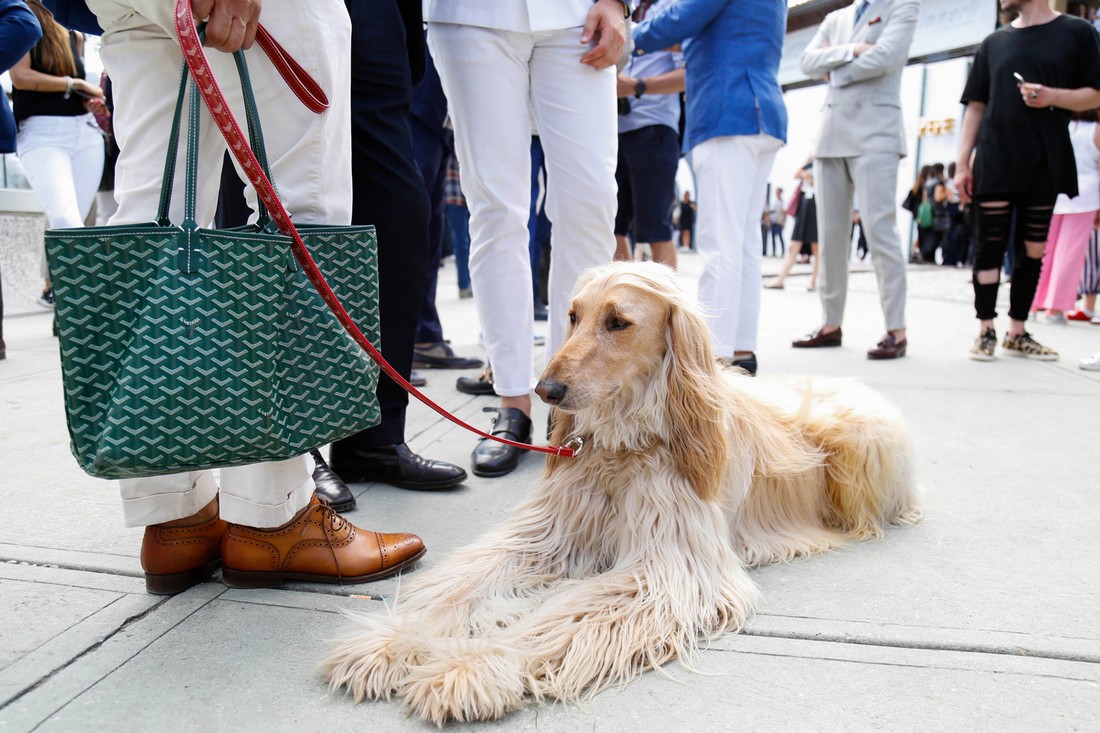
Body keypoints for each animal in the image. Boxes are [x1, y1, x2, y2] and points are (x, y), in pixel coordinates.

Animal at [323, 259, 919, 721]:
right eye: (571, 316)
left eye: (619, 321)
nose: (546, 390)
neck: (624, 448)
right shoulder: (549, 537)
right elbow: (460, 586)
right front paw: (394, 641)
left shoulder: (664, 567)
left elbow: (562, 615)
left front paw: (474, 666)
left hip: (857, 443)